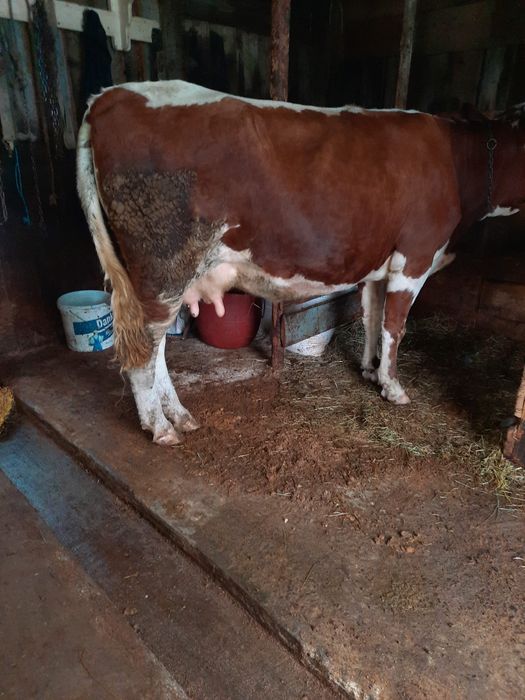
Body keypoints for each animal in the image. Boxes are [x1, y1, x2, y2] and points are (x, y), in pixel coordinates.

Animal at [77, 80, 525, 445]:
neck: (457, 161)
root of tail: (108, 96)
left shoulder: (378, 264)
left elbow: (371, 317)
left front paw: (369, 371)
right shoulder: (416, 256)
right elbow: (395, 326)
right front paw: (393, 387)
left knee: (158, 352)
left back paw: (180, 416)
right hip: (162, 271)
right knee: (143, 353)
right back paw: (161, 427)